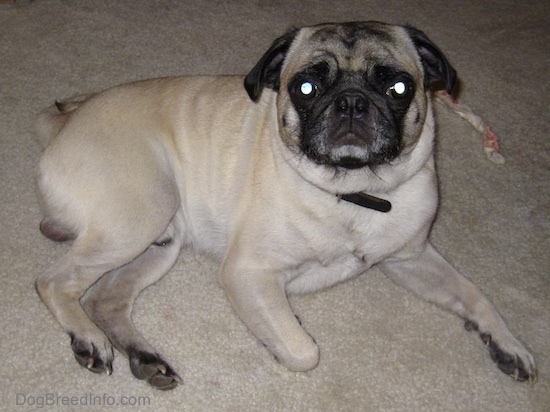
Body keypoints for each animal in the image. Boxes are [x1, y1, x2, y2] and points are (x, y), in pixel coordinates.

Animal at [35, 22, 540, 390]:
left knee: (105, 298)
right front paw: (276, 337)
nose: (352, 102)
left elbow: (472, 293)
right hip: (143, 212)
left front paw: (505, 340)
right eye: (306, 87)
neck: (354, 191)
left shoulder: (410, 259)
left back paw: (144, 357)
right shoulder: (247, 272)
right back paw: (88, 339)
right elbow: (304, 350)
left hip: (161, 241)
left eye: (398, 88)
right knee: (54, 282)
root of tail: (62, 123)